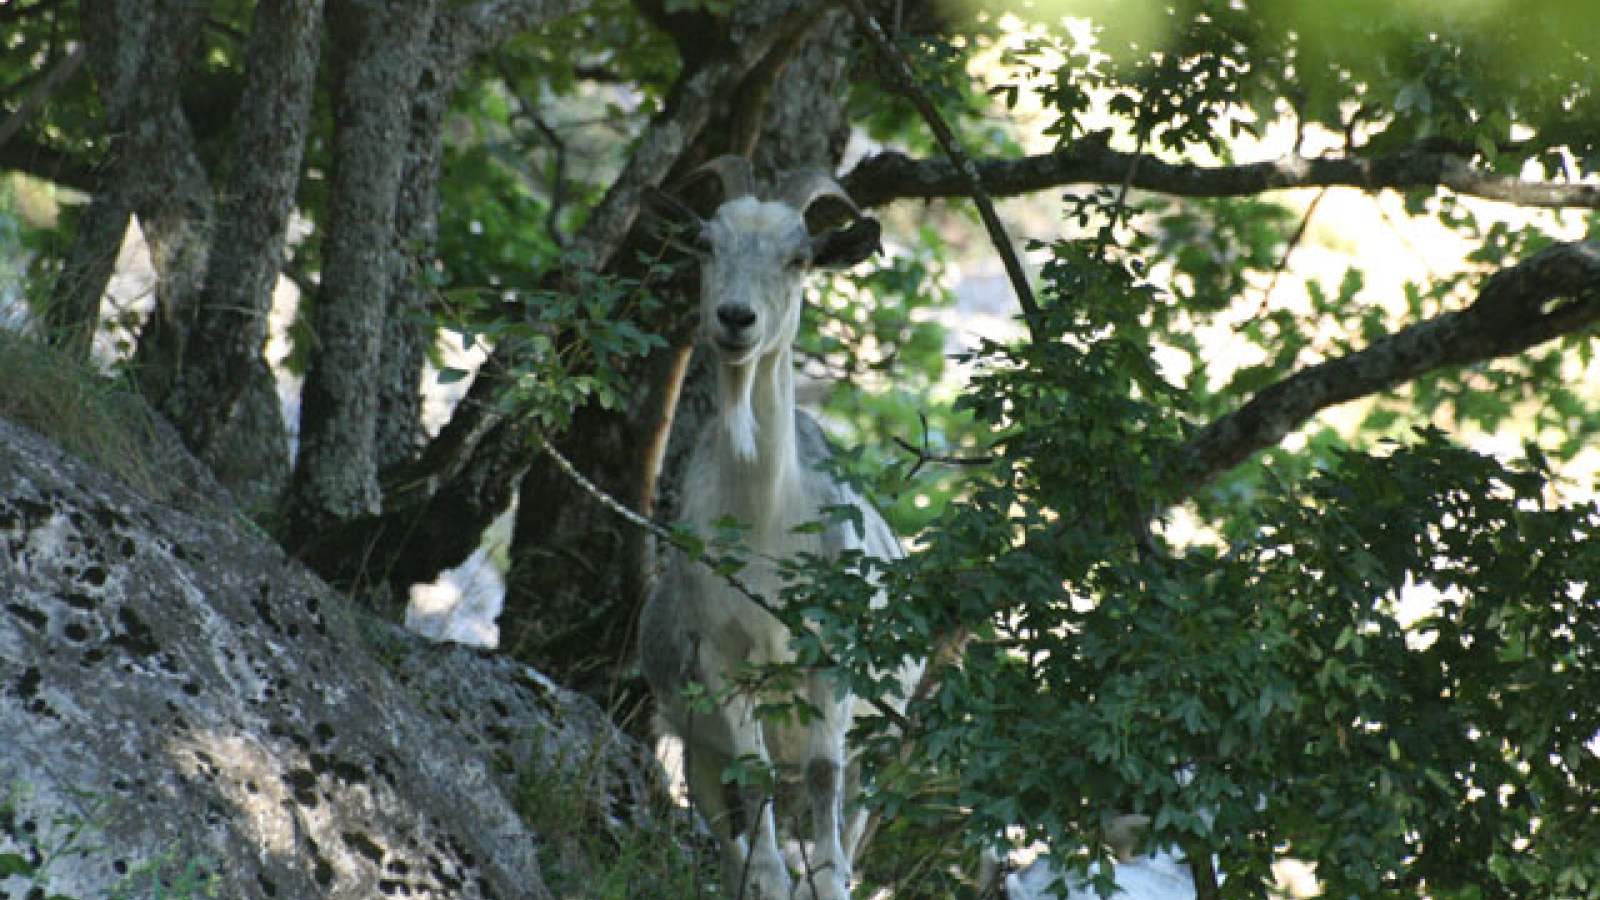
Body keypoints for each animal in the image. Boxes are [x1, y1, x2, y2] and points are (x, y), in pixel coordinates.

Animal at [633, 160, 915, 896]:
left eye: (799, 258)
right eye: (706, 244)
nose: (736, 318)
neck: (764, 529)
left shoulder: (831, 650)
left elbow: (824, 772)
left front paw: (830, 879)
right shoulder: (721, 657)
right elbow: (750, 772)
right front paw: (771, 878)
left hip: (882, 733)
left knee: (853, 795)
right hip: (689, 733)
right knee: (722, 803)